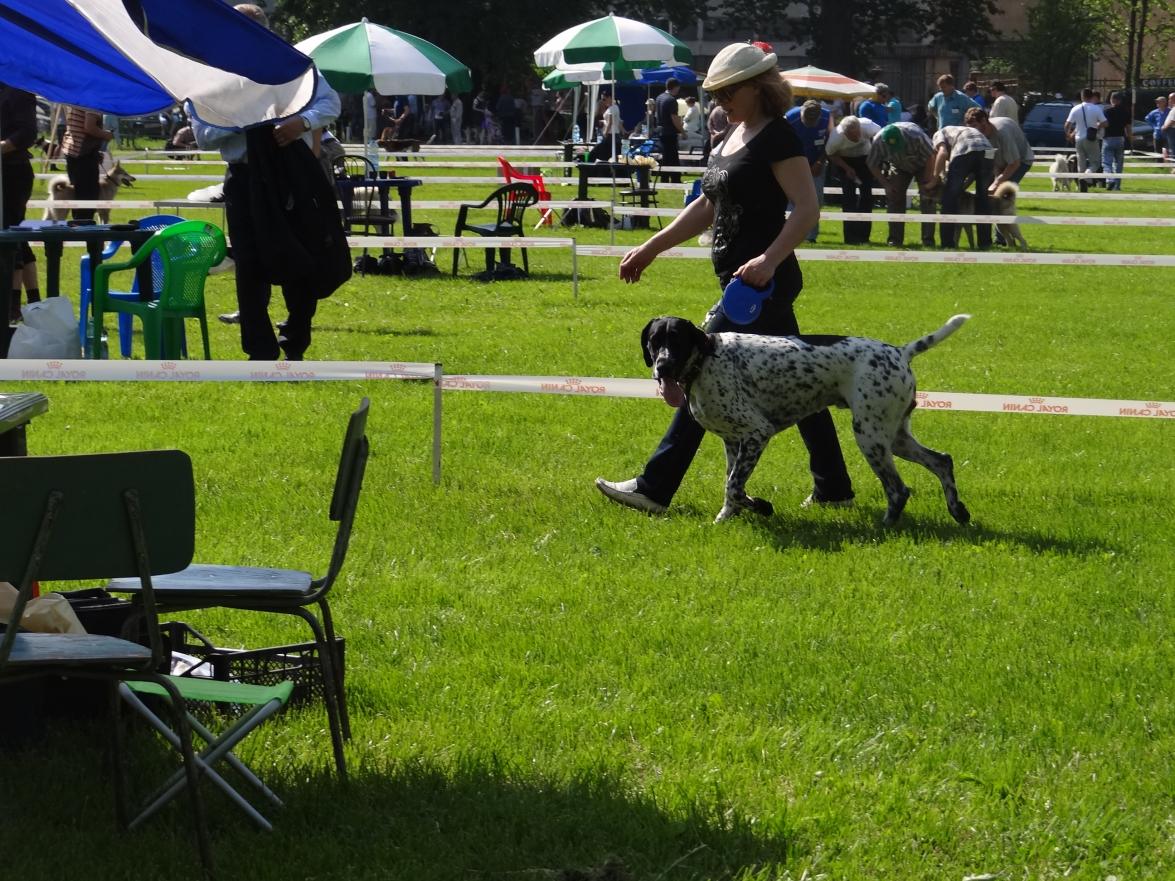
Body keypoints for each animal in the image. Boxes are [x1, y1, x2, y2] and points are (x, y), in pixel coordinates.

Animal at [641, 315, 972, 526]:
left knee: (898, 490)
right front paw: (727, 517)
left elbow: (734, 488)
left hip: (871, 437)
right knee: (942, 461)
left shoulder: (757, 433)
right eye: (655, 341)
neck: (706, 359)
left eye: (677, 341)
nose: (663, 367)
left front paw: (762, 506)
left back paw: (886, 527)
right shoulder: (734, 442)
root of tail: (900, 352)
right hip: (895, 437)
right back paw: (958, 512)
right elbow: (732, 486)